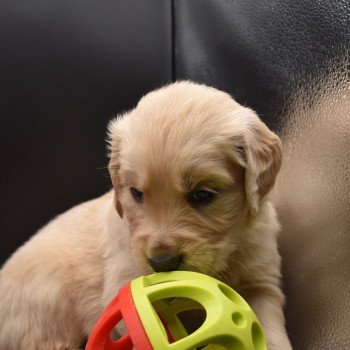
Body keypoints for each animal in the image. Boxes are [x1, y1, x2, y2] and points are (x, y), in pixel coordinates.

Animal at [0, 82, 292, 350]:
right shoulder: (122, 279)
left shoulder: (262, 281)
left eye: (202, 194)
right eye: (136, 193)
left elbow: (270, 331)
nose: (162, 263)